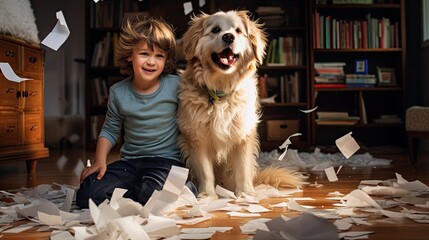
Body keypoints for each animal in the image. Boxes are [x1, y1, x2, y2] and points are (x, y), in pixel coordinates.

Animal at [177, 10, 304, 199]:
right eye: (215, 30)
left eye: (238, 31)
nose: (228, 37)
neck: (221, 91)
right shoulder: (197, 138)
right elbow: (205, 171)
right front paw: (207, 195)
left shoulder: (243, 134)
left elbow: (243, 169)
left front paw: (245, 194)